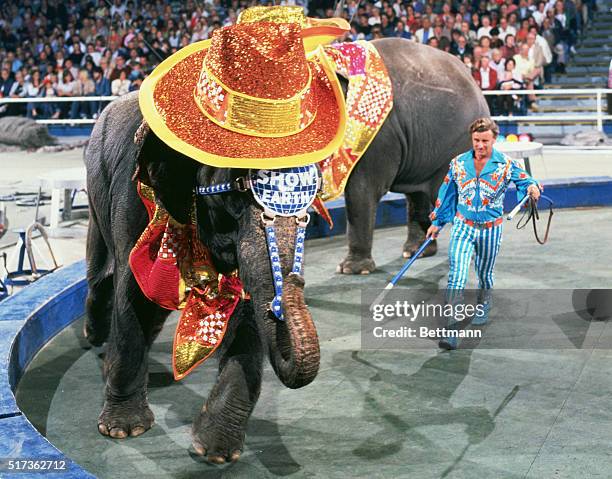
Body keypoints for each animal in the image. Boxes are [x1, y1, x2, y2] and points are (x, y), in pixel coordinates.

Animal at [85, 92, 320, 464]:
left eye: (313, 200)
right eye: (237, 192)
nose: (296, 281)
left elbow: (247, 318)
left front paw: (215, 452)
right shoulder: (134, 202)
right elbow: (131, 293)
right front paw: (123, 429)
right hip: (97, 186)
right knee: (101, 277)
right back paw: (94, 336)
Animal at [334, 39, 488, 276]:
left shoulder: (377, 137)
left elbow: (362, 189)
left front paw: (352, 270)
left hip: (461, 142)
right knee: (418, 194)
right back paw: (415, 252)